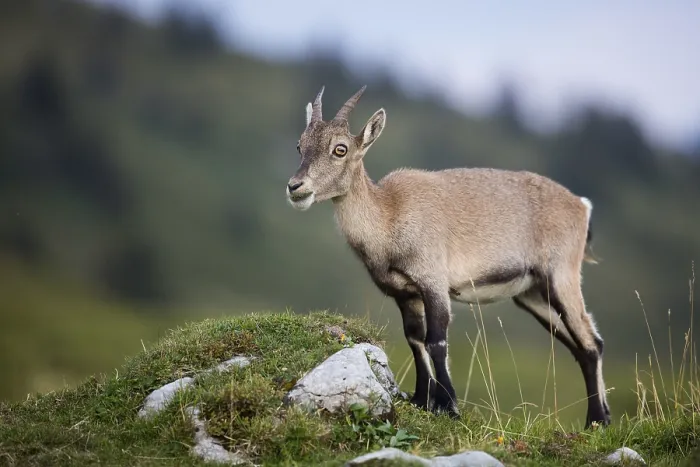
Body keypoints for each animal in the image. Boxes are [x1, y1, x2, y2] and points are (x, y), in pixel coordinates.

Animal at [285, 85, 611, 428]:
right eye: (300, 145)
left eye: (340, 149)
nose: (296, 187)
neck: (390, 216)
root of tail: (582, 206)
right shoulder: (405, 293)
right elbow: (415, 339)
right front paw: (421, 400)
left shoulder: (434, 281)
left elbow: (436, 340)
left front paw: (450, 406)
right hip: (532, 294)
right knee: (582, 345)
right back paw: (600, 418)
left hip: (561, 276)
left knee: (591, 342)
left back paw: (596, 421)